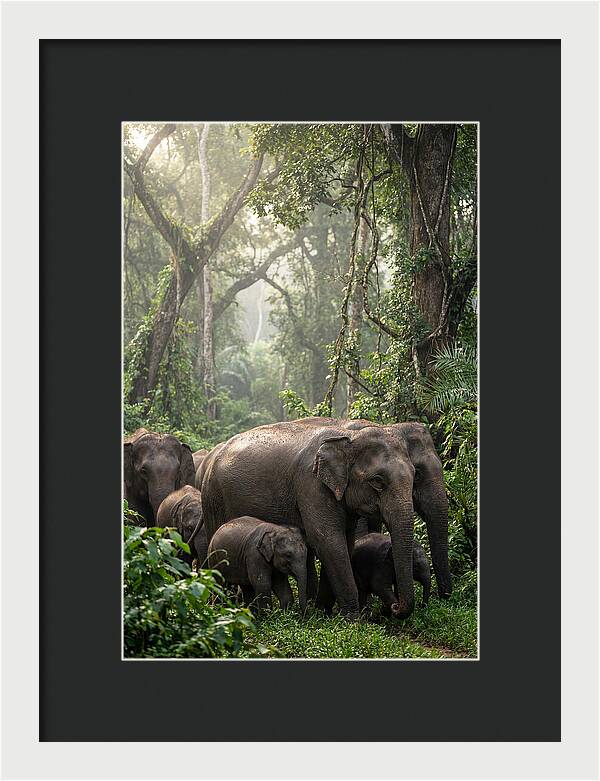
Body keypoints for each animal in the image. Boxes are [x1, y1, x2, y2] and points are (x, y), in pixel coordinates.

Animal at [200, 420, 416, 620]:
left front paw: (323, 612)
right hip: (213, 500)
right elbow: (327, 540)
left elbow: (344, 542)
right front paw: (352, 620)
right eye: (377, 481)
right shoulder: (311, 486)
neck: (349, 437)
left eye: (415, 474)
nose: (395, 607)